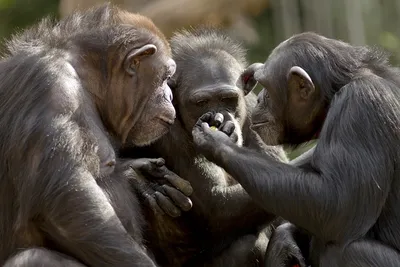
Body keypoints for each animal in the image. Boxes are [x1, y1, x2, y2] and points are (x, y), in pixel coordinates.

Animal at [0, 4, 192, 267]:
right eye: (165, 77)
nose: (170, 95)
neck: (87, 78)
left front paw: (141, 177)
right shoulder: (51, 88)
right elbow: (69, 203)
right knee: (35, 257)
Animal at [122, 27, 288, 267]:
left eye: (228, 99)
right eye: (201, 102)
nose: (219, 117)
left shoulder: (255, 109)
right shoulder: (166, 133)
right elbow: (216, 204)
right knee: (248, 247)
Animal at [190, 31, 400, 267]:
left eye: (266, 87)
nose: (259, 98)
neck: (337, 91)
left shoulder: (361, 105)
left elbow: (338, 202)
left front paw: (217, 141)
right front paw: (285, 241)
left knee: (347, 250)